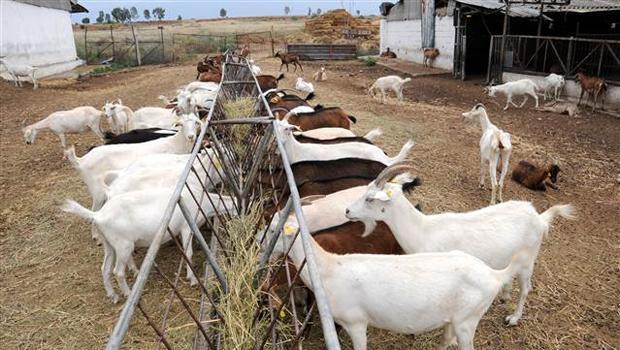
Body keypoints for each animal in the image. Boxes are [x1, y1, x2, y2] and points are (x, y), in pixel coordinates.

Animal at [262, 216, 528, 348]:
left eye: (274, 229)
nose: (260, 243)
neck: (328, 269)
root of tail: (494, 275)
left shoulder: (356, 322)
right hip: (455, 318)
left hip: (469, 319)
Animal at [344, 163, 576, 326]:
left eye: (370, 198)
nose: (347, 211)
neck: (423, 230)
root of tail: (539, 217)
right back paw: (504, 295)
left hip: (529, 259)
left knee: (526, 288)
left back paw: (513, 318)